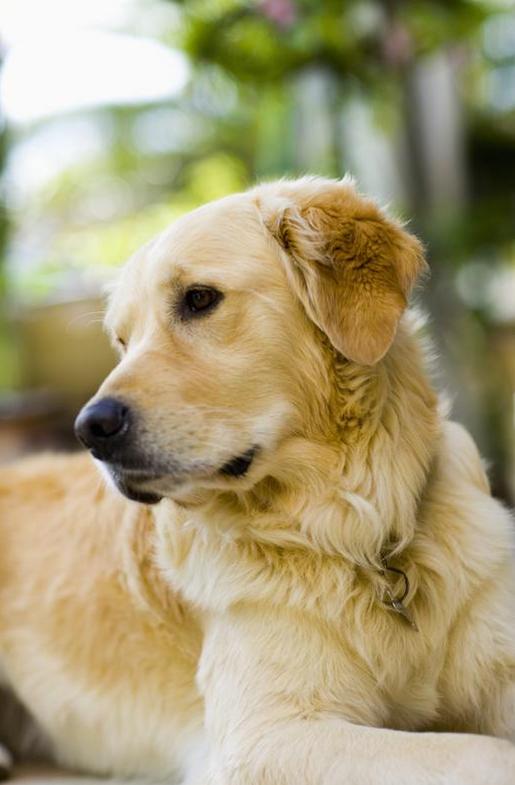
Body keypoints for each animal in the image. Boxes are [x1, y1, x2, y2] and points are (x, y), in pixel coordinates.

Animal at [0, 178, 512, 784]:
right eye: (123, 341)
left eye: (199, 299)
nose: (90, 429)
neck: (359, 535)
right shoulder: (266, 736)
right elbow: (485, 752)